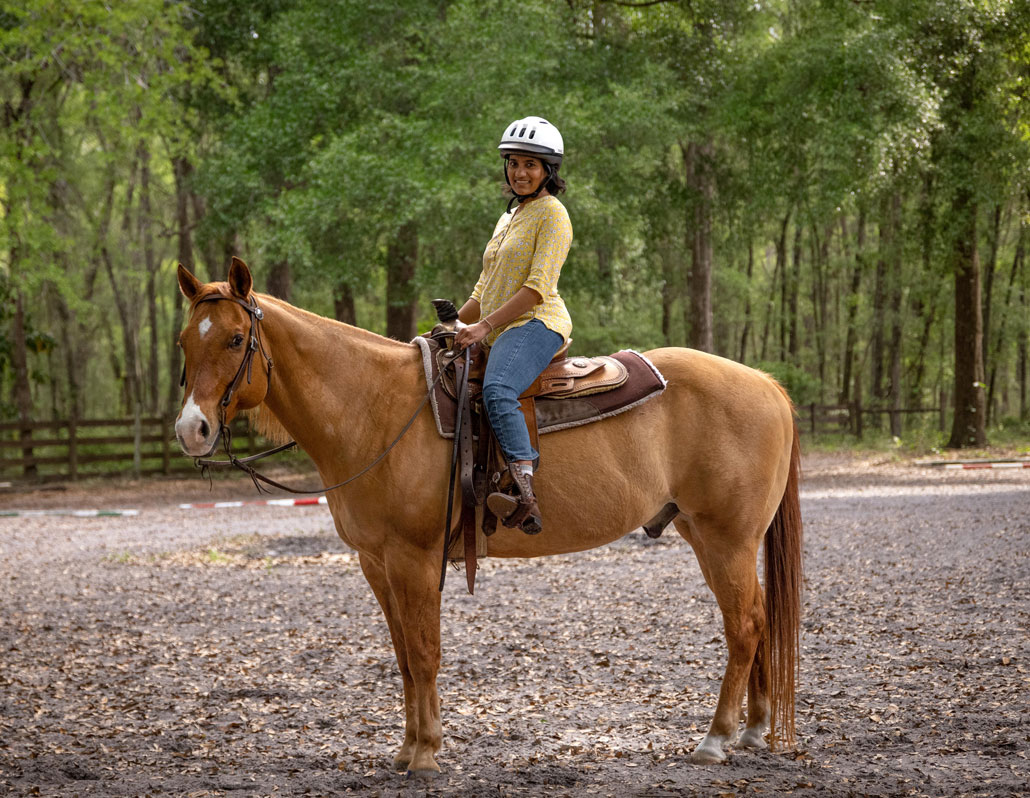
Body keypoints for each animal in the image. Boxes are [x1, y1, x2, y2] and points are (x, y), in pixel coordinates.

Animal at [177, 260, 803, 774]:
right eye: (185, 341)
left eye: (236, 339)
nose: (192, 430)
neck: (376, 409)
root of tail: (768, 385)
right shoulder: (376, 563)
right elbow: (403, 657)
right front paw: (406, 749)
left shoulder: (415, 559)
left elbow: (424, 653)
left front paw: (426, 754)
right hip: (707, 535)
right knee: (758, 620)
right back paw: (752, 731)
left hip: (726, 539)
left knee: (745, 626)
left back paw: (716, 739)